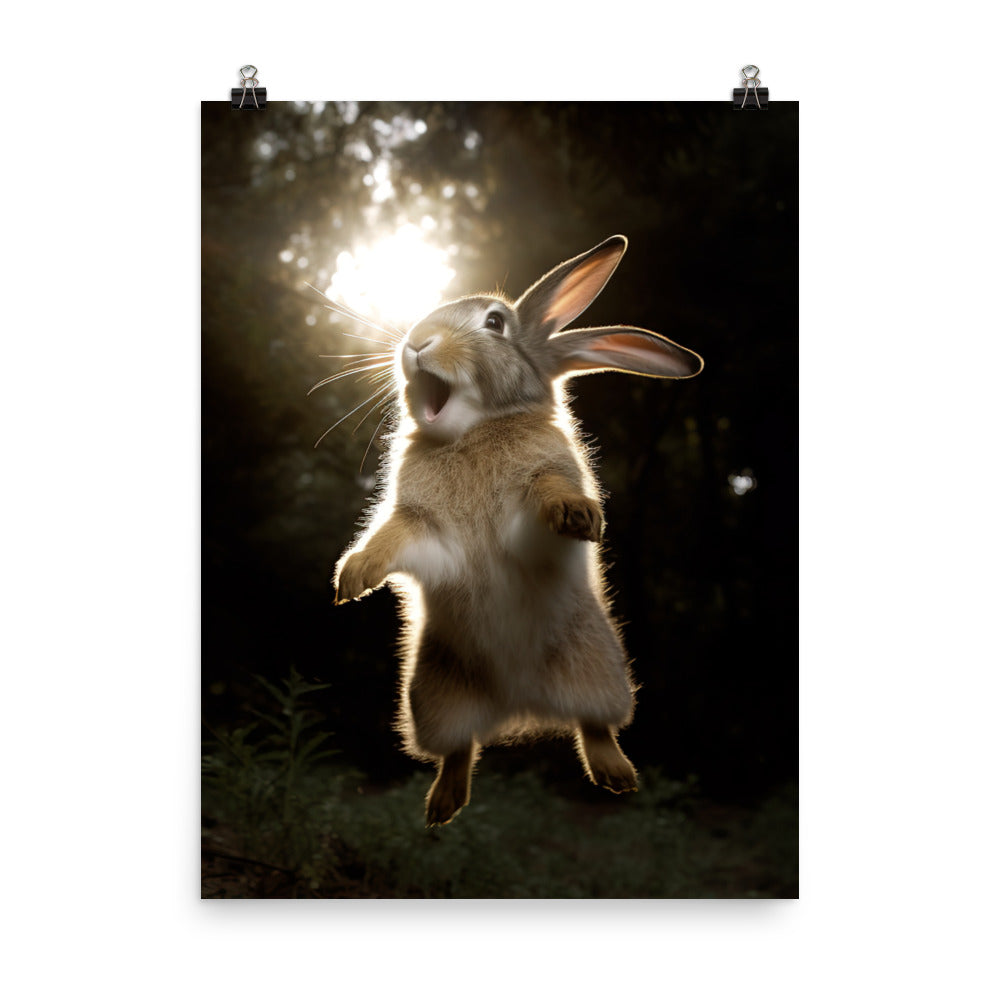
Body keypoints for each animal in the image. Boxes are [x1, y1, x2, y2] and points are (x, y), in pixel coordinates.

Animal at [332, 235, 703, 826]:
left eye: (494, 322)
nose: (416, 343)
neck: (474, 430)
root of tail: (520, 706)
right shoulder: (423, 528)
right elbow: (392, 538)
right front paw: (353, 577)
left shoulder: (537, 492)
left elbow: (549, 492)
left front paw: (579, 515)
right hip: (435, 697)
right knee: (459, 749)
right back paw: (443, 806)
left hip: (599, 671)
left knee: (594, 727)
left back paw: (617, 776)